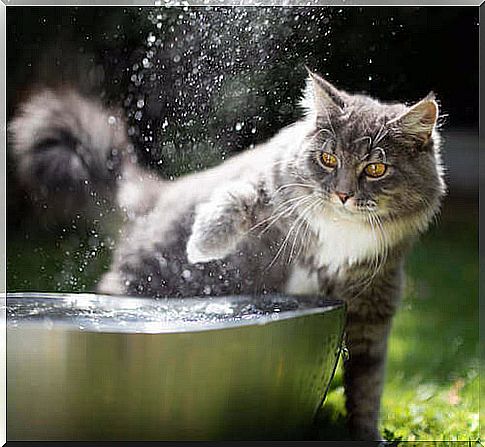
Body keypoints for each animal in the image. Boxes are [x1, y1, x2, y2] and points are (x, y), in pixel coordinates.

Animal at [8, 71, 446, 440]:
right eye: (328, 159)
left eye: (375, 168)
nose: (341, 194)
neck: (341, 232)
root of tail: (155, 198)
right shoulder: (268, 184)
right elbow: (237, 200)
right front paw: (203, 243)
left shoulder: (373, 308)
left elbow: (367, 385)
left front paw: (366, 436)